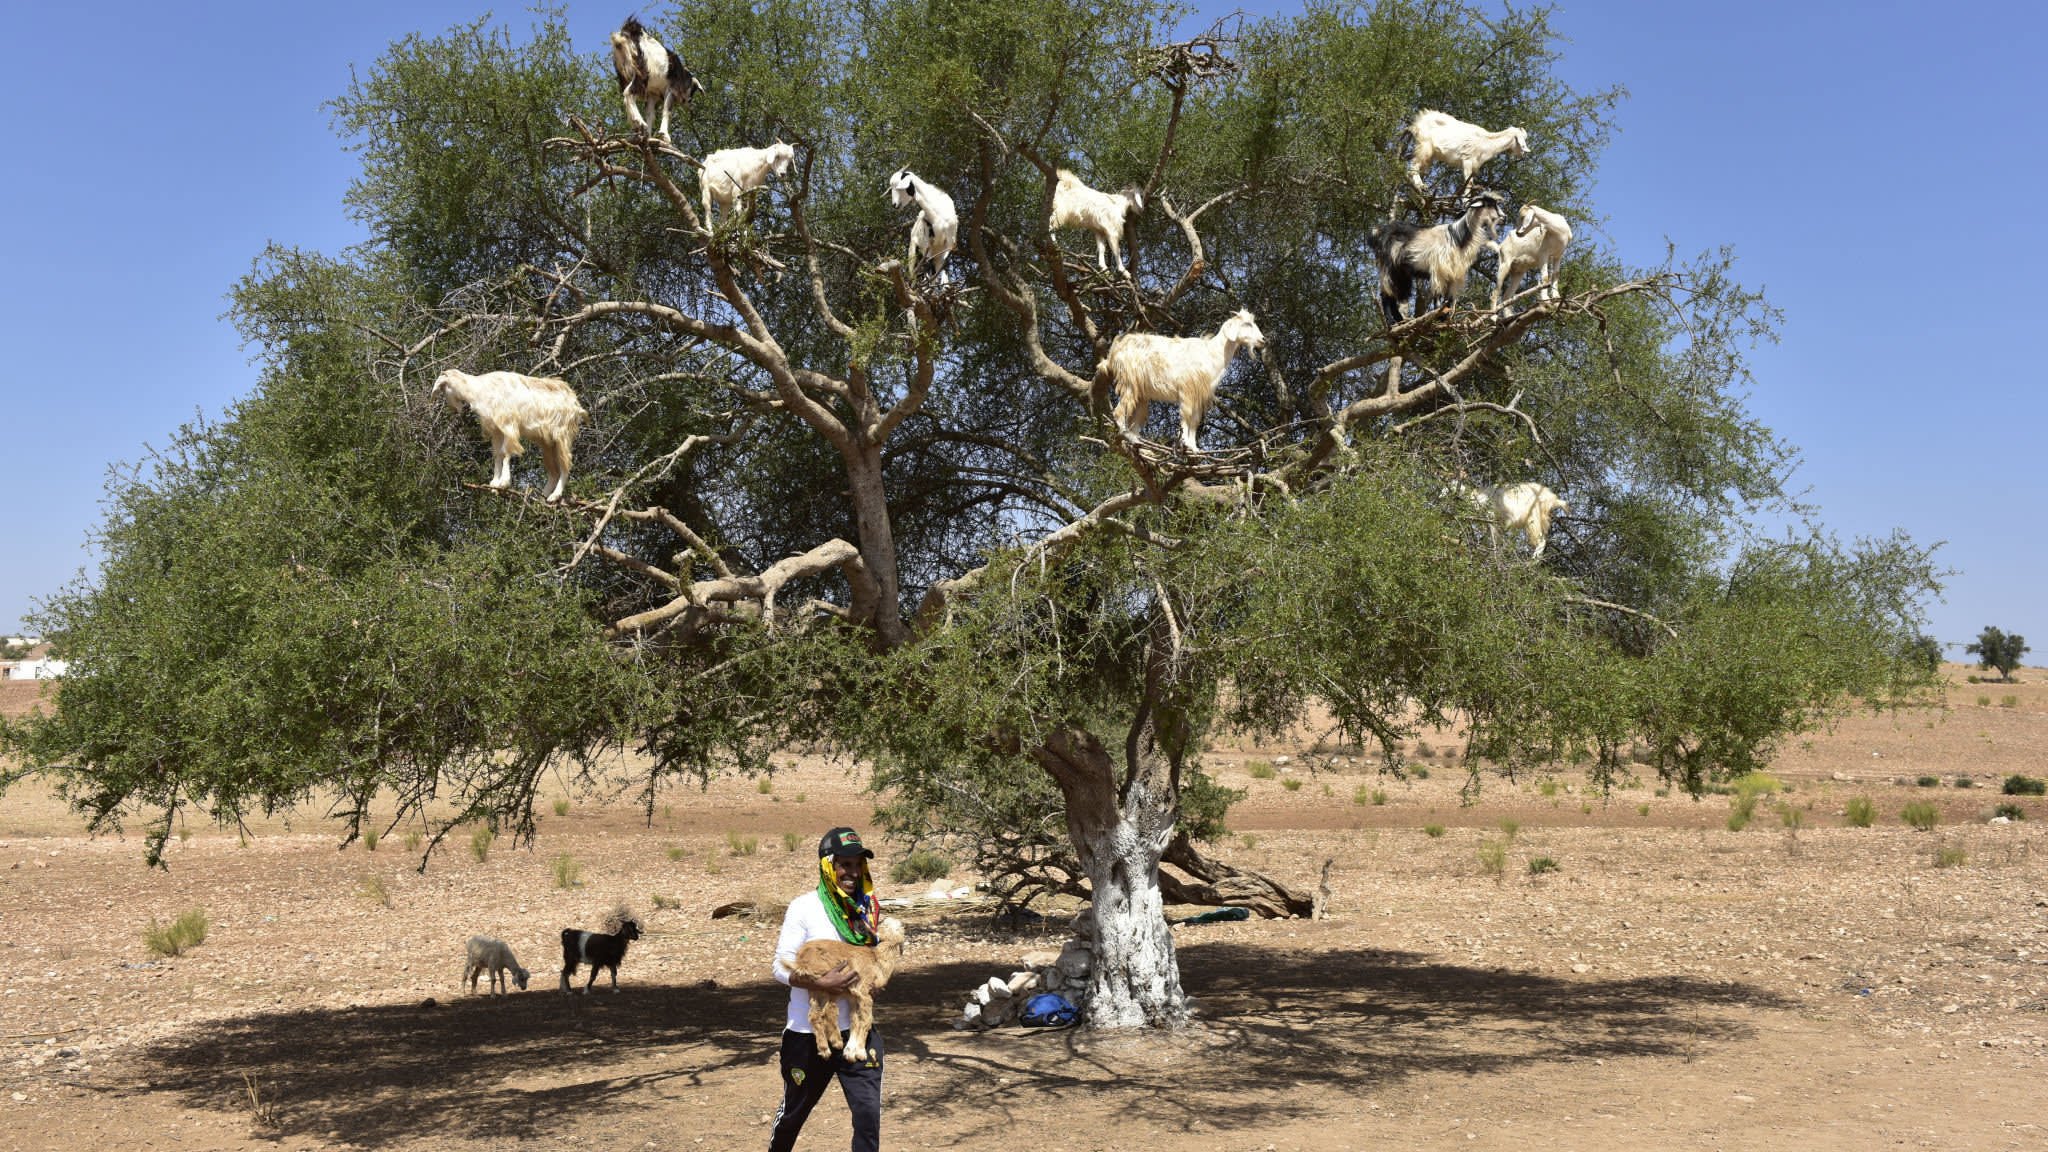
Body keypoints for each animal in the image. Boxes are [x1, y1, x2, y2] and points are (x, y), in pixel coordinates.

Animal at [428, 366, 589, 502]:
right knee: (553, 471)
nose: (455, 410)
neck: (480, 389)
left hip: (562, 435)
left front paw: (503, 483)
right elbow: (497, 454)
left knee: (566, 464)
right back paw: (542, 496)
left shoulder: (508, 425)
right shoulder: (496, 430)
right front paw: (494, 484)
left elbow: (506, 452)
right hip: (548, 443)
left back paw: (555, 496)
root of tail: (576, 404)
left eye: (443, 388)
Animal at [1105, 309, 1261, 453]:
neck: (1212, 354)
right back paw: (1126, 435)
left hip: (1141, 393)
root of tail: (1114, 351)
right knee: (1119, 412)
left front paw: (1194, 448)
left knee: (1135, 420)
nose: (1263, 340)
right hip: (1129, 383)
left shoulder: (1199, 395)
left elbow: (1195, 421)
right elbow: (1186, 417)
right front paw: (1185, 442)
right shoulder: (1187, 391)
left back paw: (1140, 445)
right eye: (1247, 324)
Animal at [1368, 188, 1515, 323]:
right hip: (1389, 267)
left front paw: (1446, 319)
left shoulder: (1454, 274)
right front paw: (1438, 317)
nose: (1504, 217)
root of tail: (1378, 233)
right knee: (1386, 295)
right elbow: (1438, 297)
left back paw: (1399, 320)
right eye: (1490, 205)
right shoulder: (1439, 270)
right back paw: (1391, 321)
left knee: (1394, 294)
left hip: (1402, 274)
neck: (1458, 238)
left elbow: (1449, 299)